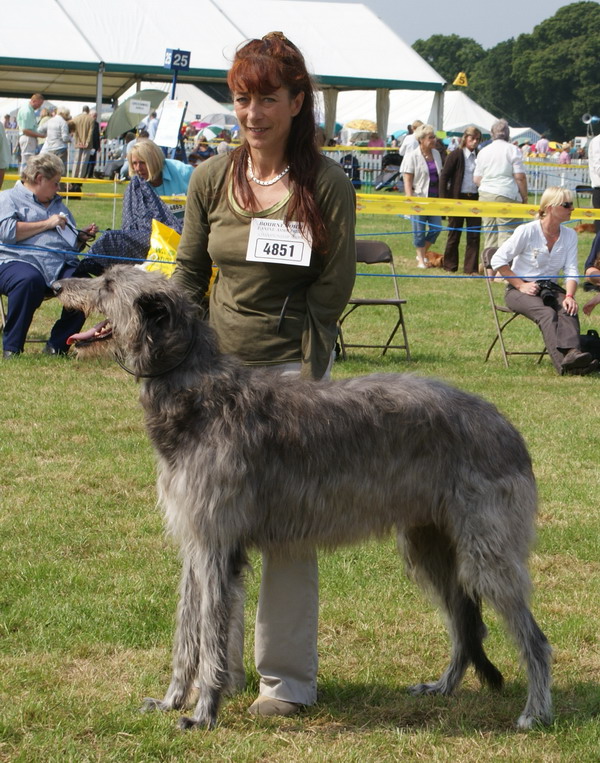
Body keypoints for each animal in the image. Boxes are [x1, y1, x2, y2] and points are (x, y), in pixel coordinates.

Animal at [54, 266, 552, 732]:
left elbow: (210, 636)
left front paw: (203, 714)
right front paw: (172, 700)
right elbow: (186, 631)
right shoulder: (195, 541)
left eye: (108, 284)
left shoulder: (215, 542)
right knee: (466, 625)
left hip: (487, 550)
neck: (198, 395)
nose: (59, 285)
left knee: (533, 637)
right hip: (429, 545)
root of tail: (506, 427)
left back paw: (535, 712)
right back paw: (444, 687)